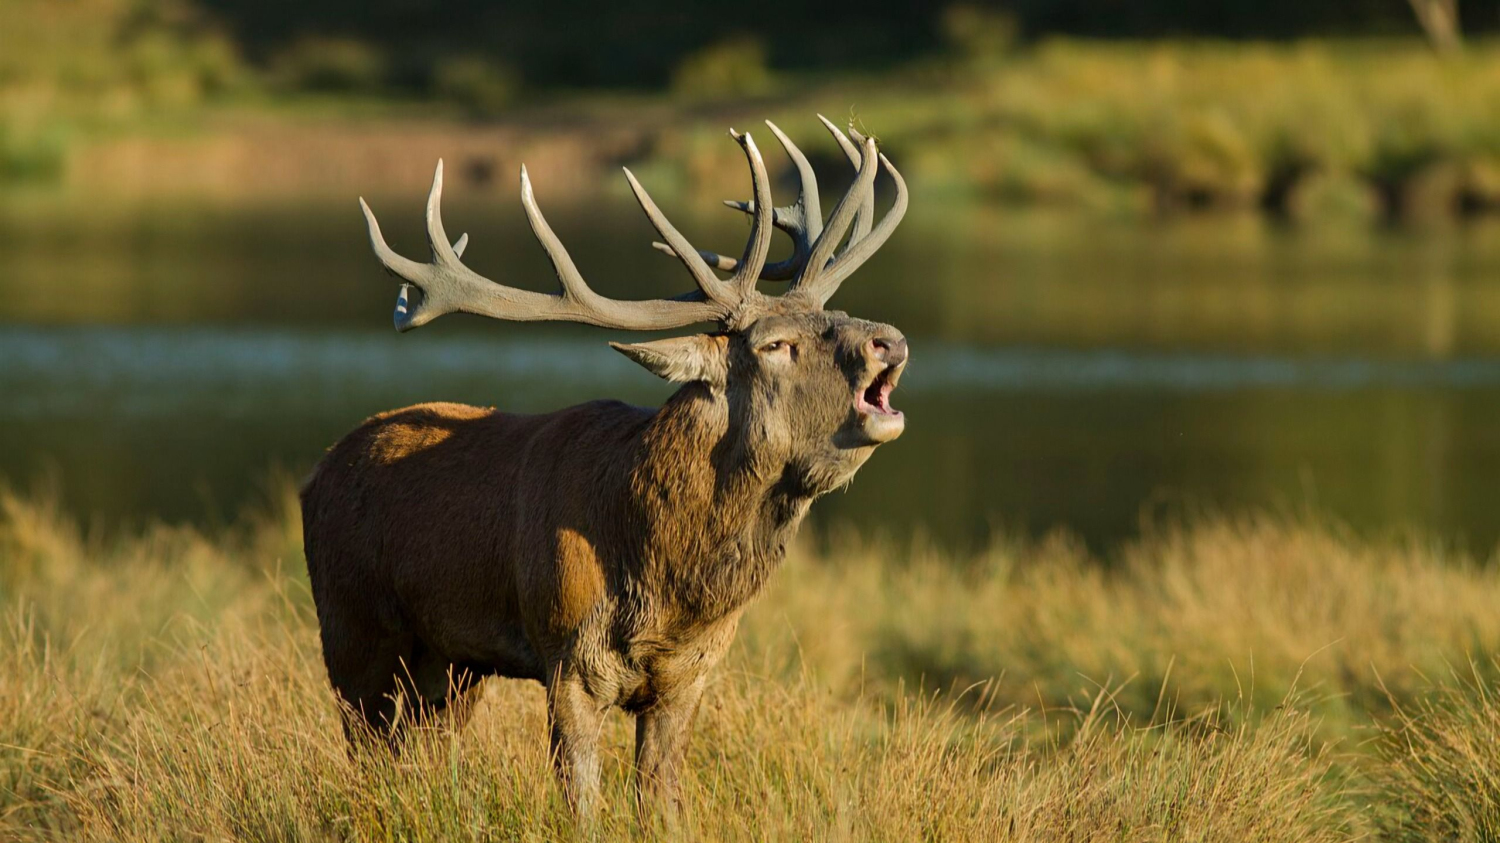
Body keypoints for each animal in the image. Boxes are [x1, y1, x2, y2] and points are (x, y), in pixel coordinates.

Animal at [299, 115, 909, 818]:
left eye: (837, 314)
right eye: (775, 344)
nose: (889, 339)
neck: (666, 587)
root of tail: (316, 473)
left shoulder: (690, 675)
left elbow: (662, 803)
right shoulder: (568, 657)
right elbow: (583, 804)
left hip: (448, 665)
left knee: (418, 748)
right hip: (352, 628)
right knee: (365, 748)